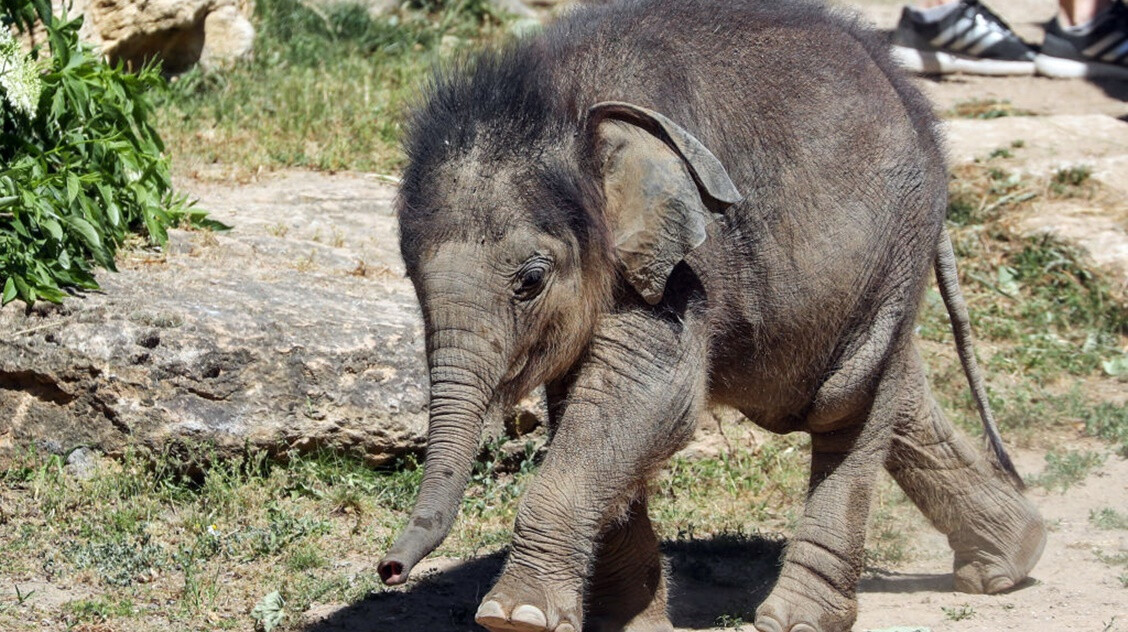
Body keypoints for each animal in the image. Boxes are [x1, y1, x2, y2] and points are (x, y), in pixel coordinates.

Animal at [379, 1, 1046, 632]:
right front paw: (634, 622)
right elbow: (593, 407)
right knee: (889, 387)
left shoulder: (686, 260)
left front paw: (514, 617)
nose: (388, 570)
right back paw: (1008, 563)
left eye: (531, 280)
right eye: (410, 277)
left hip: (891, 248)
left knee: (846, 402)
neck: (555, 99)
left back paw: (797, 619)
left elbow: (648, 396)